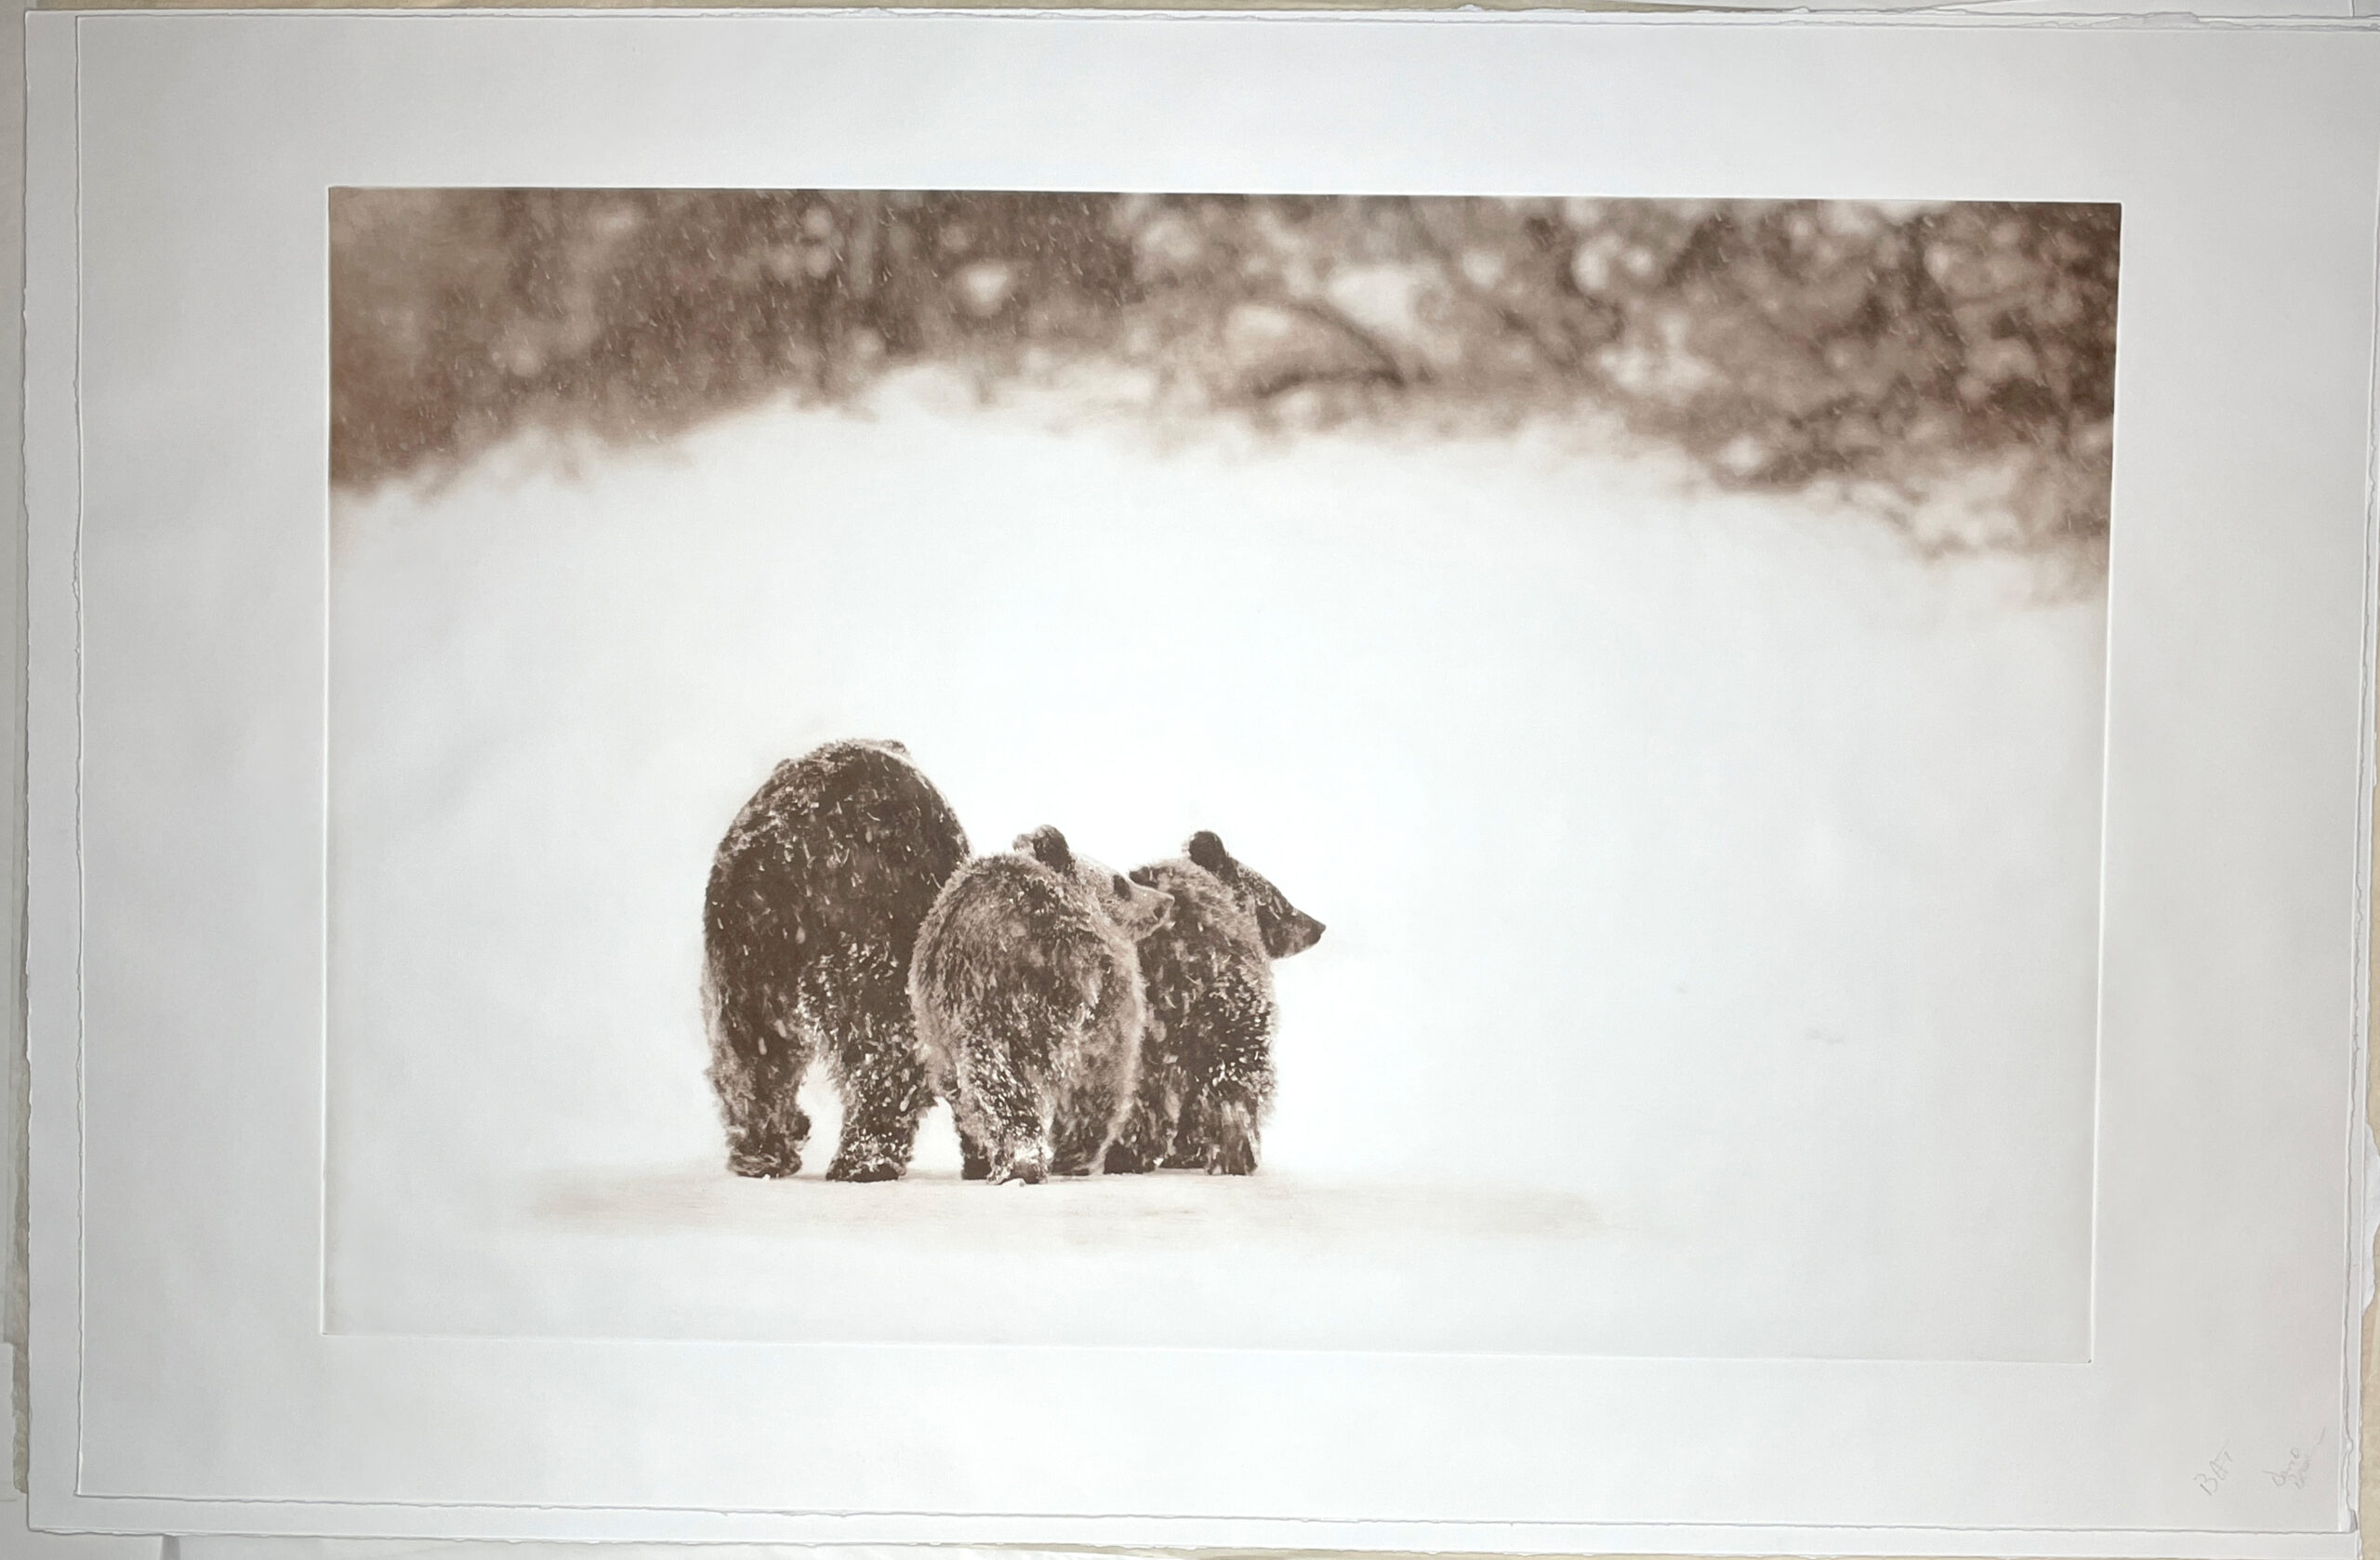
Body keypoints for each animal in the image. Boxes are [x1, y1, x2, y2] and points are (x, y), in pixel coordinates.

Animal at [1104, 831, 1325, 1177]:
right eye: (1279, 900)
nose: (1318, 927)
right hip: (1230, 1011)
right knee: (1234, 1085)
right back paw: (1237, 1154)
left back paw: (1124, 1156)